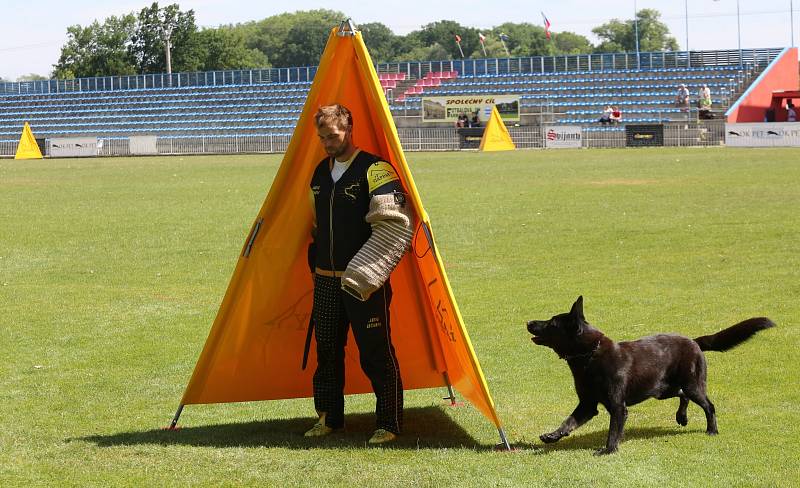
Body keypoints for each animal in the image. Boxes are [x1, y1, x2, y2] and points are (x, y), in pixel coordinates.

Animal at [524, 296, 776, 456]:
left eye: (552, 323)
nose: (528, 322)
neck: (589, 355)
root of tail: (694, 341)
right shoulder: (588, 404)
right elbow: (569, 422)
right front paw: (552, 436)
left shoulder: (618, 407)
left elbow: (613, 430)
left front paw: (608, 450)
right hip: (663, 389)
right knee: (682, 396)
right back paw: (681, 417)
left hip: (692, 384)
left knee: (708, 405)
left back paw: (712, 430)